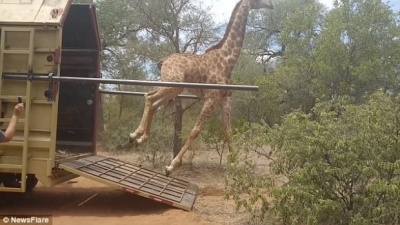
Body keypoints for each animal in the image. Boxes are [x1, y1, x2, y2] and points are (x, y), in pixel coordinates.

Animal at [130, 0, 274, 176]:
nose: (271, 5)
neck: (228, 60)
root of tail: (163, 61)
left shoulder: (226, 99)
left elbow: (228, 132)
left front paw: (234, 165)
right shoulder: (211, 98)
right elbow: (195, 130)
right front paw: (171, 165)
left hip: (174, 88)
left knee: (153, 101)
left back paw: (142, 137)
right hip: (172, 84)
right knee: (149, 97)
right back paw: (135, 134)